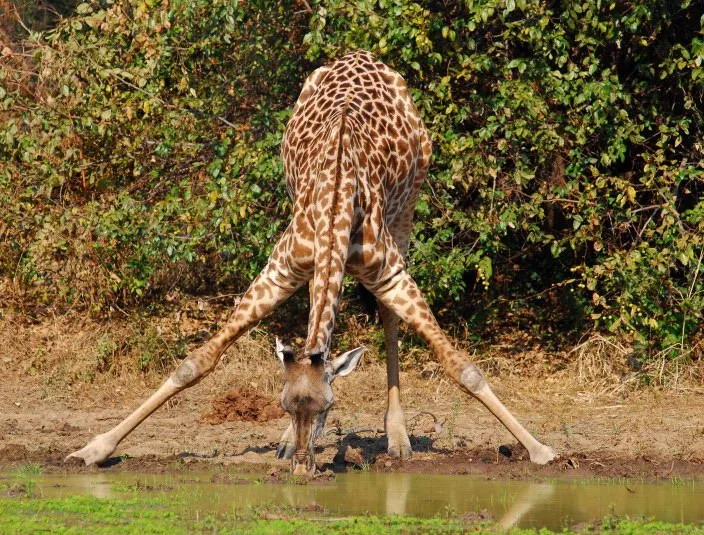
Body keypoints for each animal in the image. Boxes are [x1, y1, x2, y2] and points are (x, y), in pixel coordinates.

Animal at [67, 50, 557, 475]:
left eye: (329, 407)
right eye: (283, 403)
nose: (304, 467)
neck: (336, 199)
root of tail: (362, 54)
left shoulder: (390, 272)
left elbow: (462, 367)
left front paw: (540, 449)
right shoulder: (281, 268)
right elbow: (196, 362)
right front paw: (93, 448)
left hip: (407, 208)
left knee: (387, 316)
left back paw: (398, 439)